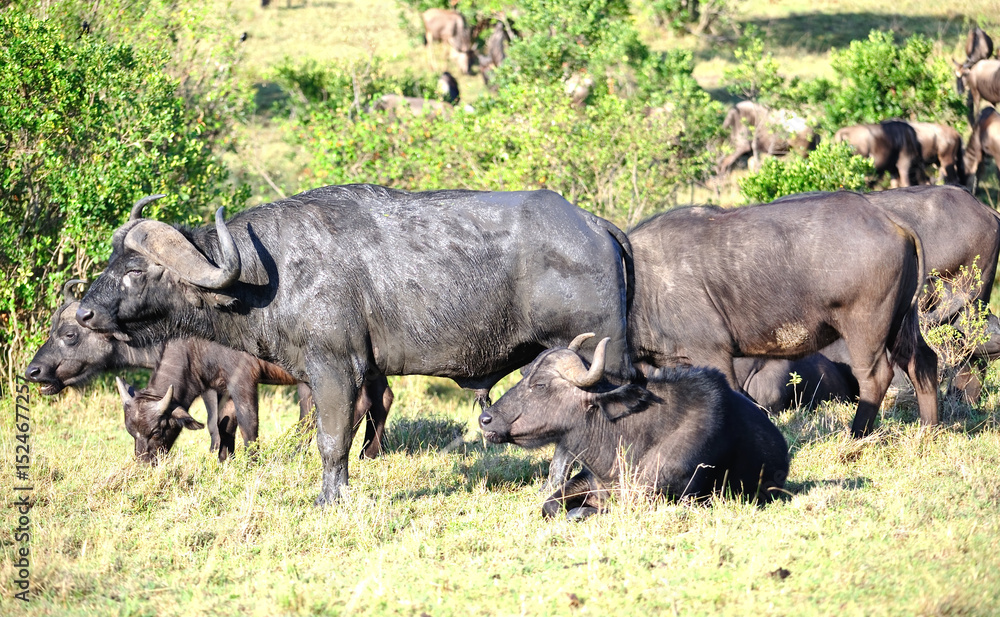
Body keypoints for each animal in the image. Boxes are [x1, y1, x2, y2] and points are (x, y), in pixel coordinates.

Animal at [75, 186, 635, 505]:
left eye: (135, 270)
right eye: (111, 261)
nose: (84, 313)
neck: (269, 272)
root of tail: (595, 225)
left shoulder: (333, 368)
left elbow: (331, 438)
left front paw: (332, 497)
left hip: (592, 357)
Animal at [626, 191, 939, 437]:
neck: (639, 284)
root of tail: (888, 219)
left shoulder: (712, 353)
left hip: (865, 325)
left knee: (875, 376)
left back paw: (856, 436)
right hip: (901, 319)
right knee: (921, 360)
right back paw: (930, 430)